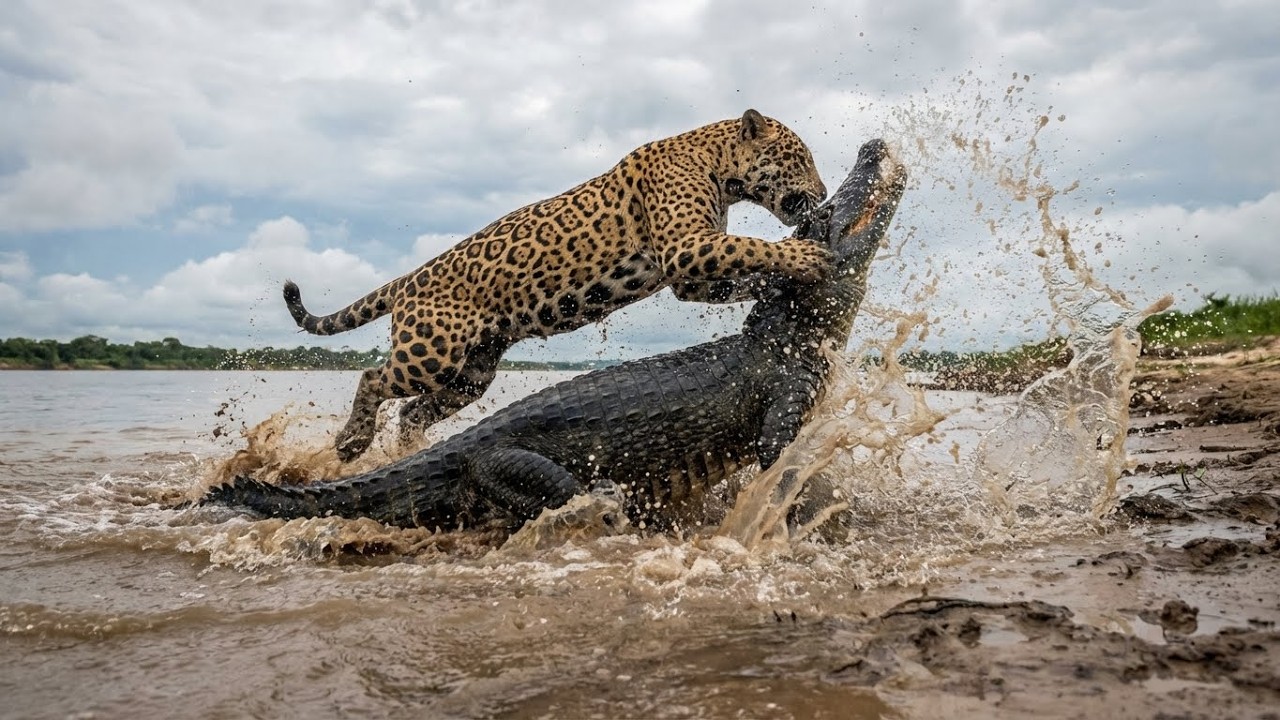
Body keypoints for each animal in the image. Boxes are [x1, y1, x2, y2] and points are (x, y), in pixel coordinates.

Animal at [284, 109, 832, 461]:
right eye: (801, 159)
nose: (824, 192)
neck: (720, 166)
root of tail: (405, 280)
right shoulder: (686, 247)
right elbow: (751, 245)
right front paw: (803, 255)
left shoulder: (687, 271)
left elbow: (740, 273)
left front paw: (774, 282)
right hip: (431, 352)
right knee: (374, 378)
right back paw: (353, 443)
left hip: (471, 373)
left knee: (415, 411)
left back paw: (405, 450)